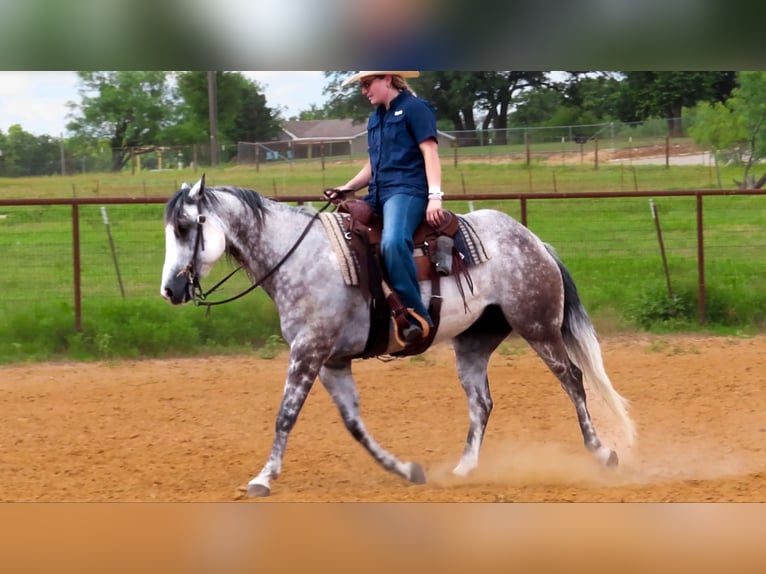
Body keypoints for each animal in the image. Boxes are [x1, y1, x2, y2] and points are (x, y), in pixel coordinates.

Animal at [160, 175, 636, 497]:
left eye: (184, 227)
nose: (170, 290)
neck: (302, 257)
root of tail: (533, 240)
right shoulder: (332, 361)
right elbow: (354, 426)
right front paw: (407, 470)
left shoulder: (308, 351)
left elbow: (286, 415)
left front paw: (263, 477)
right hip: (474, 342)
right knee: (482, 402)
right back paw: (463, 469)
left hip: (538, 327)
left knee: (573, 380)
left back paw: (603, 454)